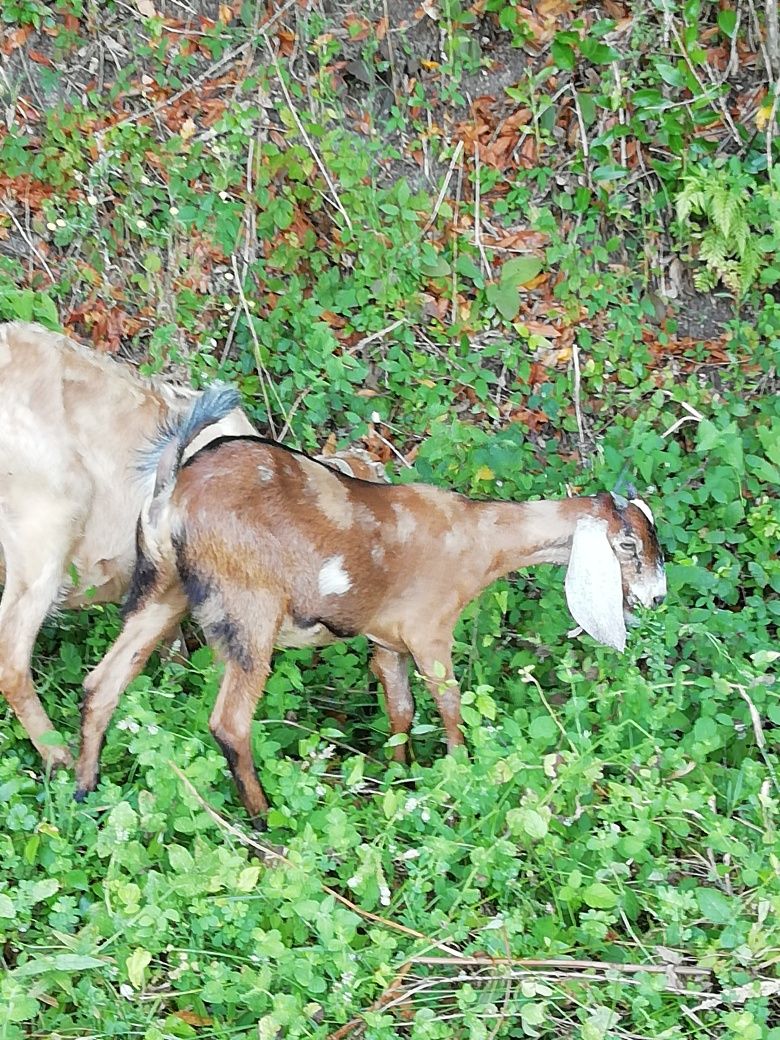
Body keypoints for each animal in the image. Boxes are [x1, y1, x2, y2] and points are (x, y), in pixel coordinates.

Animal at [76, 388, 669, 819]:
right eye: (628, 545)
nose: (657, 595)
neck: (477, 537)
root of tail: (173, 489)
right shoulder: (430, 632)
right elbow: (449, 703)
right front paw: (461, 774)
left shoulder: (389, 643)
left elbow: (401, 710)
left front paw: (401, 778)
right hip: (250, 611)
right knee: (229, 723)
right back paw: (264, 822)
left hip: (162, 591)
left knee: (103, 682)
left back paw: (84, 791)